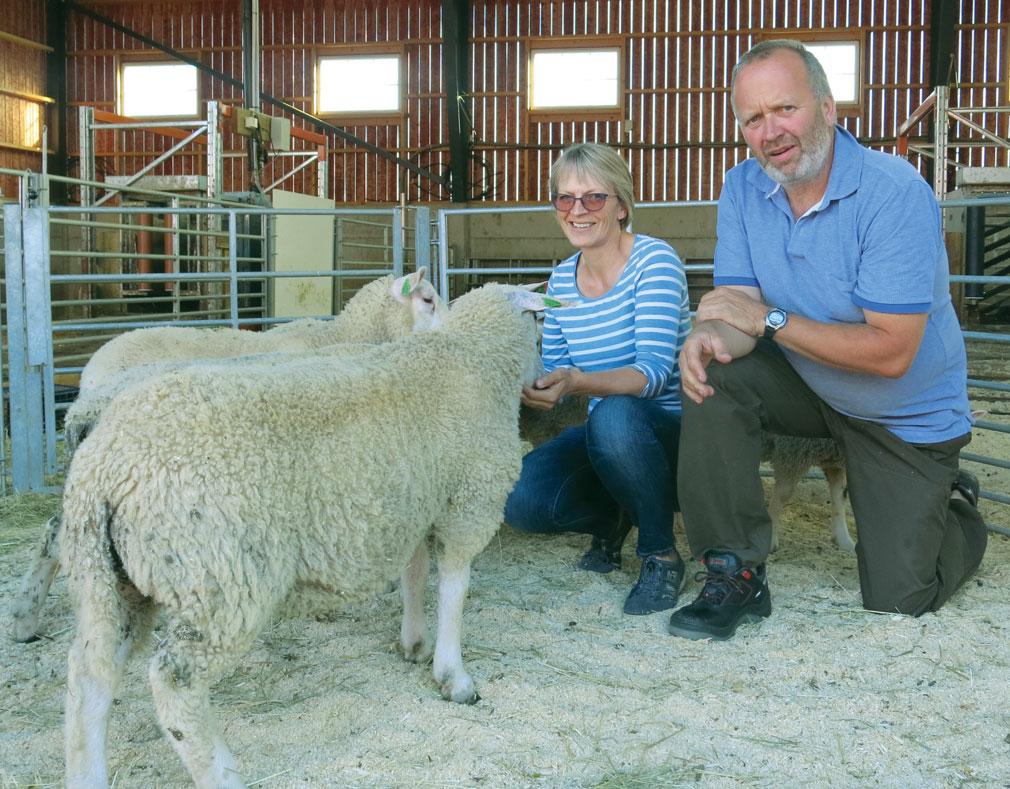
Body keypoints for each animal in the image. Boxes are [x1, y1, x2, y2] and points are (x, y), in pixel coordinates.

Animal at [61, 280, 561, 779]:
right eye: (539, 321)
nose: (543, 381)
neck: (472, 358)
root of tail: (106, 465)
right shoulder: (468, 502)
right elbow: (454, 590)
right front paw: (453, 675)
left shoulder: (414, 502)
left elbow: (414, 575)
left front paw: (414, 642)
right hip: (221, 582)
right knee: (174, 685)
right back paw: (222, 772)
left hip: (107, 577)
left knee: (91, 675)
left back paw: (88, 771)